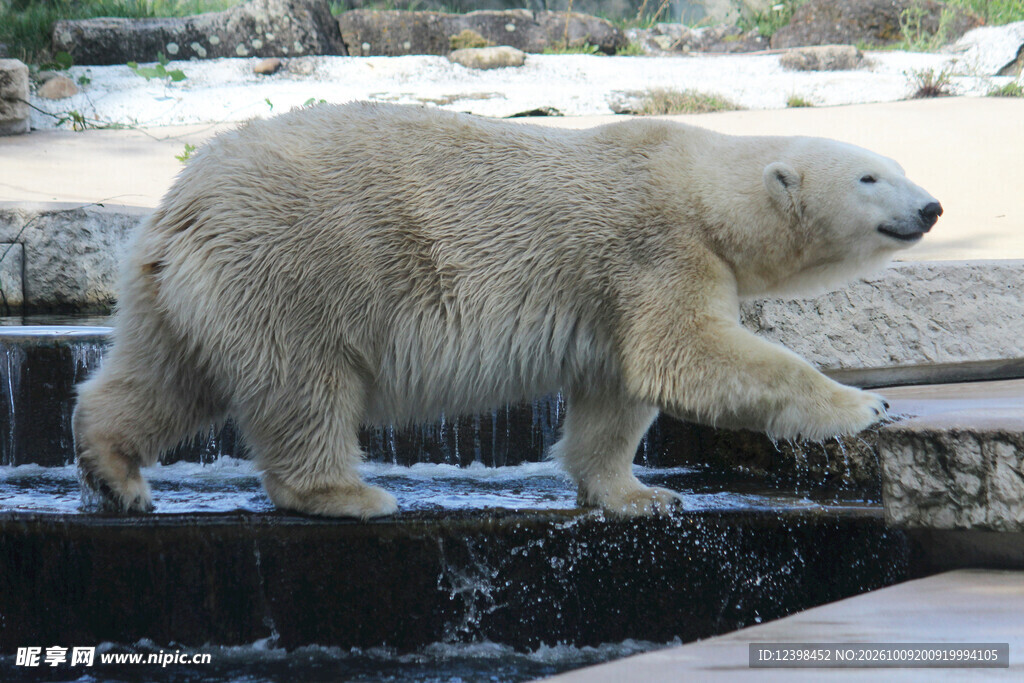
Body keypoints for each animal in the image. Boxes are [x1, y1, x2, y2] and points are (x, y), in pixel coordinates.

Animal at [73, 102, 941, 518]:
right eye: (871, 178)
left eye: (898, 166)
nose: (932, 205)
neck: (699, 185)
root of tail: (180, 205)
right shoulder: (656, 247)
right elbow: (683, 354)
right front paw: (864, 404)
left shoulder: (613, 290)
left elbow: (617, 391)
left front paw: (638, 495)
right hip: (296, 265)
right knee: (304, 382)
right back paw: (348, 493)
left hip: (186, 289)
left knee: (164, 375)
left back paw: (117, 471)